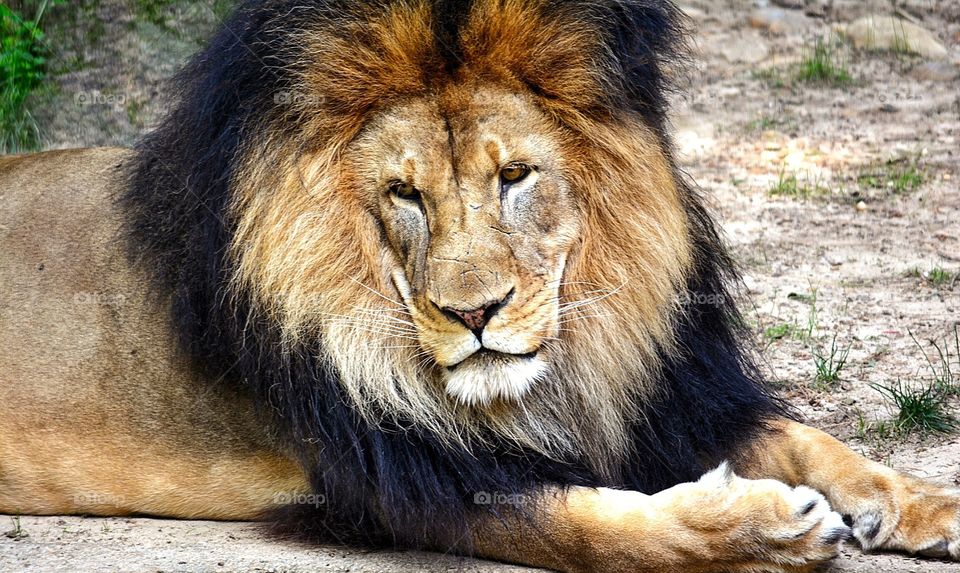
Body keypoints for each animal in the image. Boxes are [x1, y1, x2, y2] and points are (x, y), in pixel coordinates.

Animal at [1, 0, 959, 571]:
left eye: (515, 177)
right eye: (405, 193)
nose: (474, 313)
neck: (572, 363)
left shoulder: (668, 397)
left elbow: (812, 440)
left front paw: (927, 503)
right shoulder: (395, 481)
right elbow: (587, 527)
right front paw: (759, 528)